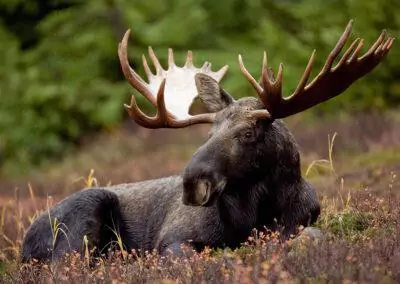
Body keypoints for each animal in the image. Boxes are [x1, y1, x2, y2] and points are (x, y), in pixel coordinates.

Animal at [21, 20, 394, 262]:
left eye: (247, 133)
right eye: (209, 133)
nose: (192, 183)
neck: (255, 215)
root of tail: (25, 241)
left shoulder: (301, 224)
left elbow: (312, 237)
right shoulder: (173, 240)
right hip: (79, 225)